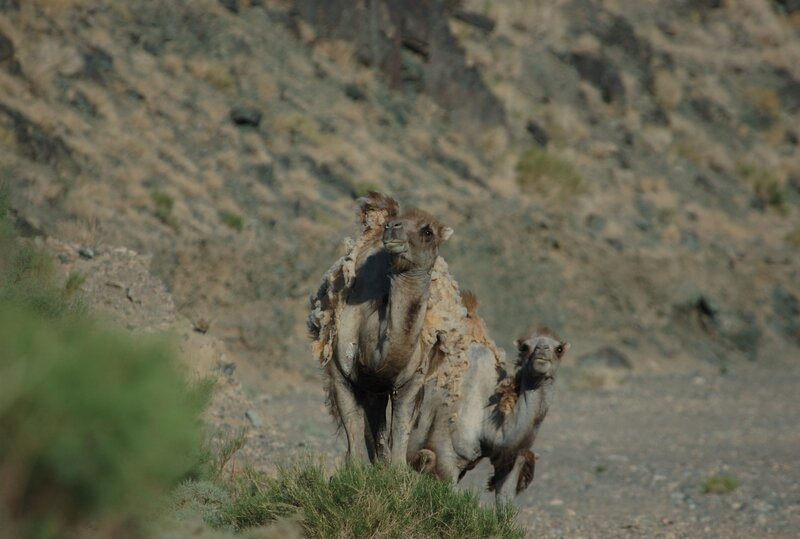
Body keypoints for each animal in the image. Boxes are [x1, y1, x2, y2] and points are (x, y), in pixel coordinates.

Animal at [406, 298, 568, 504]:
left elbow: (505, 497)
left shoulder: (505, 459)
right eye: (525, 347)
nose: (542, 351)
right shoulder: (444, 455)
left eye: (559, 349)